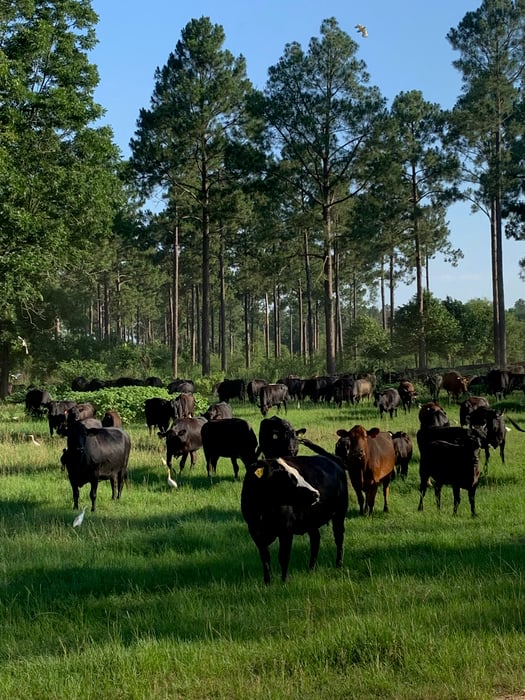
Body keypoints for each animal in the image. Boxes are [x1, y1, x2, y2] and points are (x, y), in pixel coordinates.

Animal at [241, 454, 348, 584]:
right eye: (287, 477)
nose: (316, 494)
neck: (262, 513)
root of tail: (333, 459)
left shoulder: (286, 530)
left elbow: (283, 556)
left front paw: (284, 582)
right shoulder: (256, 533)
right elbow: (265, 559)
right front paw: (267, 583)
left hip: (340, 513)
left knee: (339, 538)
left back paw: (338, 564)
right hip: (311, 521)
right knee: (315, 540)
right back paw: (311, 568)